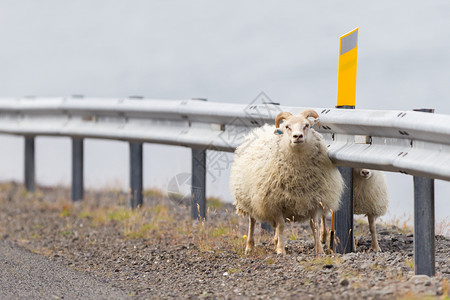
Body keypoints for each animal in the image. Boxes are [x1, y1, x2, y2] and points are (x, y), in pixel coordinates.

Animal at [230, 109, 342, 254]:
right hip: (248, 198)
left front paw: (319, 250)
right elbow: (281, 224)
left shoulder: (314, 200)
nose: (297, 136)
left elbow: (314, 225)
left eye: (307, 125)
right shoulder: (275, 201)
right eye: (287, 126)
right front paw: (281, 250)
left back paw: (275, 241)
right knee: (252, 221)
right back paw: (249, 246)